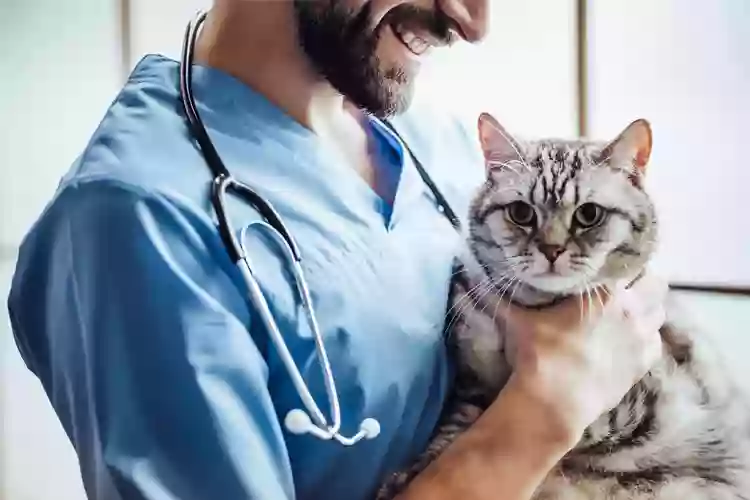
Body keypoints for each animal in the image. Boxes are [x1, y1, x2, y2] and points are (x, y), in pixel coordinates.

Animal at [378, 114, 750, 500]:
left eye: (589, 214)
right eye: (521, 213)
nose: (551, 249)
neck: (537, 305)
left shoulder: (635, 402)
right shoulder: (470, 382)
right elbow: (453, 430)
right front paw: (409, 472)